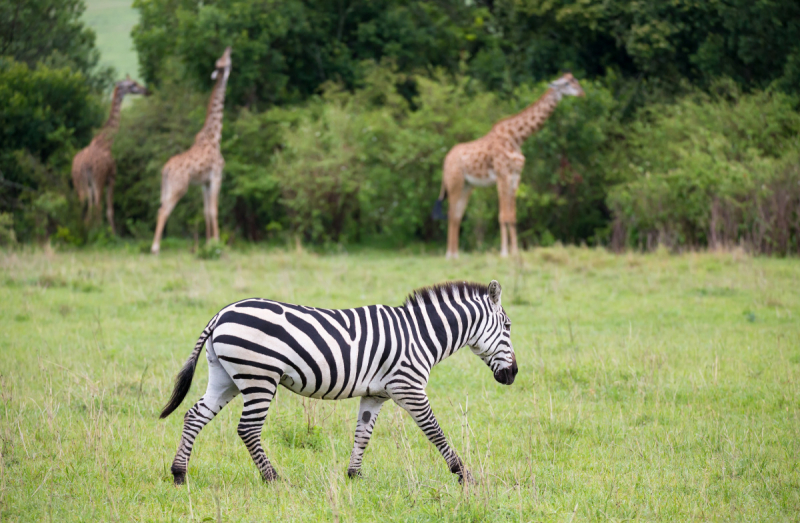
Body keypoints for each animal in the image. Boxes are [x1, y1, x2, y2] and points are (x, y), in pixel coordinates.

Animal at [71, 77, 148, 232]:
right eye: (132, 84)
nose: (146, 90)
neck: (106, 142)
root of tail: (83, 165)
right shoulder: (111, 178)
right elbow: (110, 210)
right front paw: (113, 233)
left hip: (79, 183)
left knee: (84, 206)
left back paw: (84, 231)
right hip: (97, 181)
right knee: (97, 206)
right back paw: (97, 231)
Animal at [151, 46, 231, 255]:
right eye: (224, 62)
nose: (229, 49)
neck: (215, 136)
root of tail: (165, 170)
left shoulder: (205, 182)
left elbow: (206, 212)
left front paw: (208, 243)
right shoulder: (216, 176)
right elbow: (214, 210)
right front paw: (217, 245)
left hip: (167, 187)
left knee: (160, 208)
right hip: (179, 187)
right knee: (163, 210)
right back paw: (155, 248)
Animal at [161, 280, 520, 486]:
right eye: (508, 326)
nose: (513, 374)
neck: (421, 334)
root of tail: (222, 313)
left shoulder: (376, 395)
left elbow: (363, 434)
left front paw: (354, 475)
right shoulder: (409, 388)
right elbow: (435, 431)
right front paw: (464, 474)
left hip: (227, 378)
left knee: (194, 415)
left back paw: (179, 474)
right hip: (260, 377)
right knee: (247, 429)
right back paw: (273, 478)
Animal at [434, 72, 584, 260]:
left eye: (574, 80)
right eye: (566, 83)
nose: (582, 92)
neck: (517, 138)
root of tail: (445, 160)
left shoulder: (515, 176)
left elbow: (512, 216)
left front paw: (515, 251)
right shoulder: (502, 175)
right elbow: (503, 215)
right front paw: (504, 252)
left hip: (467, 186)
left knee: (457, 215)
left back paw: (456, 254)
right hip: (455, 182)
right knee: (451, 213)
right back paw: (450, 255)